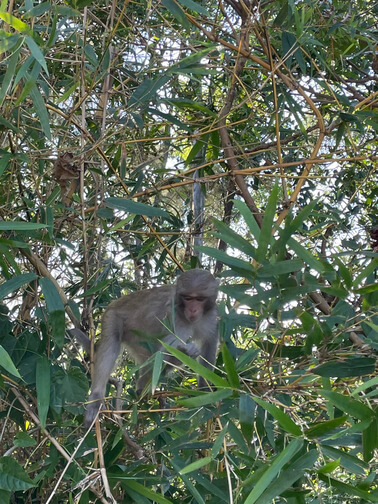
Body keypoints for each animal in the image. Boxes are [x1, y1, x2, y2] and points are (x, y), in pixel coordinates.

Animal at [75, 270, 219, 428]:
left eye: (200, 299)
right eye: (188, 298)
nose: (193, 309)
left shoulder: (212, 317)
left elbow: (209, 346)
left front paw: (205, 391)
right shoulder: (174, 319)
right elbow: (163, 353)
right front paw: (186, 352)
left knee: (149, 360)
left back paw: (142, 390)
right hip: (111, 317)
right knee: (111, 347)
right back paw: (98, 397)